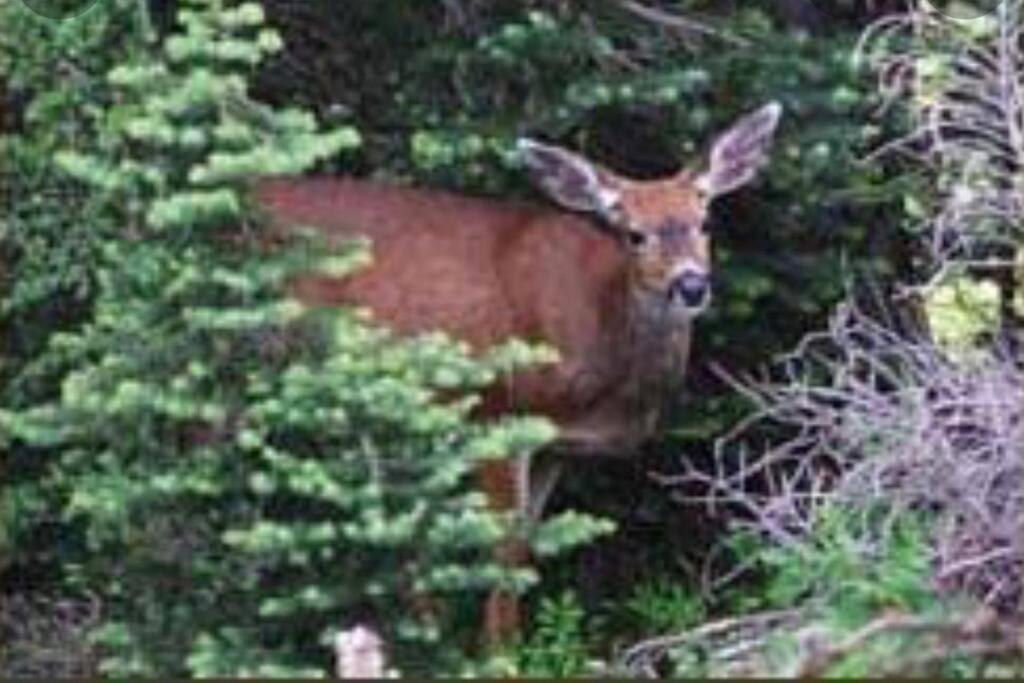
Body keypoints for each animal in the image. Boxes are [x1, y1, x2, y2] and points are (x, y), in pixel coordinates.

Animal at [251, 100, 778, 647]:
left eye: (705, 223)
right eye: (634, 234)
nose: (691, 285)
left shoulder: (556, 445)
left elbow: (526, 545)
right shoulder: (497, 413)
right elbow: (501, 548)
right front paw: (499, 652)